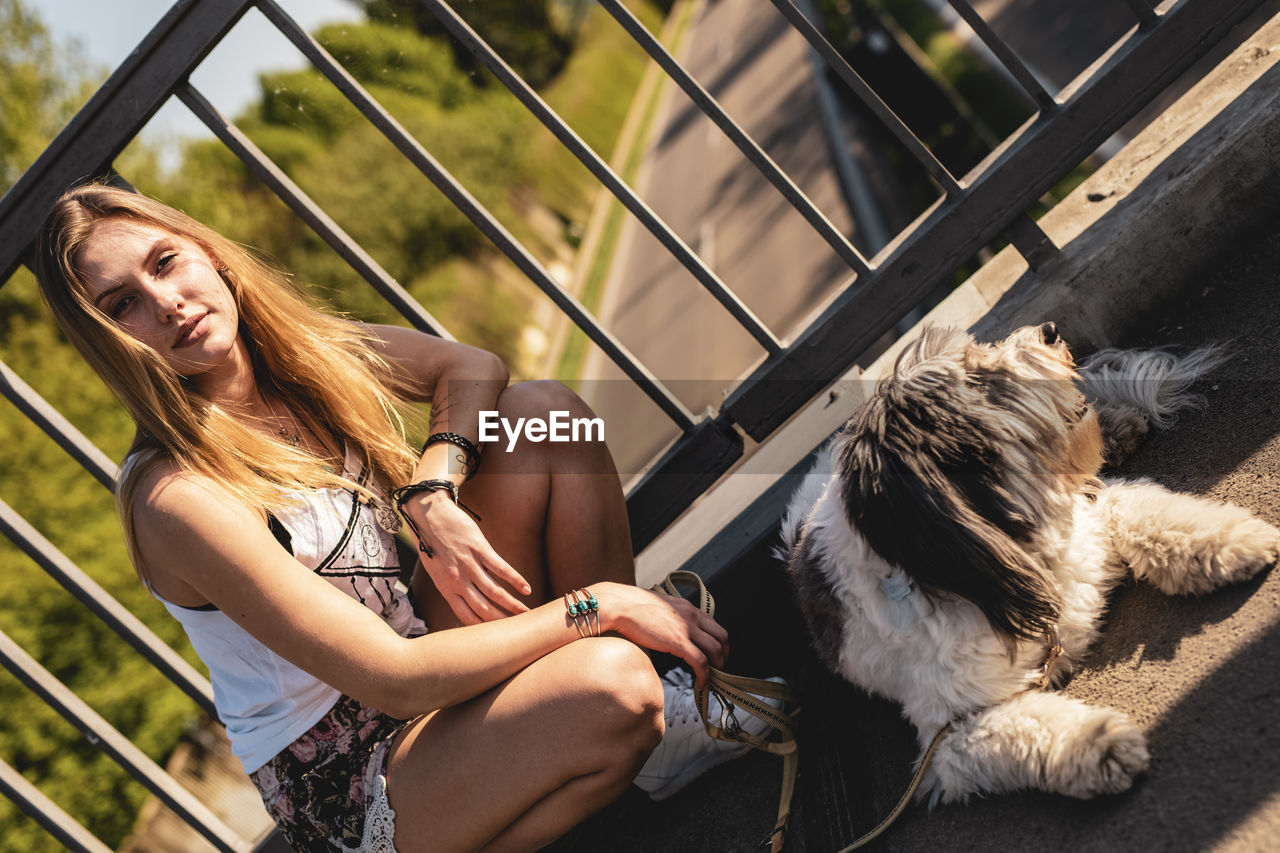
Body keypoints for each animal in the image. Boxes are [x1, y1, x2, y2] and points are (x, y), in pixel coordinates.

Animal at [778, 322, 1280, 799]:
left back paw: (1119, 425)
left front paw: (1228, 541)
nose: (1049, 331)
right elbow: (1023, 729)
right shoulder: (948, 735)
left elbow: (1146, 513)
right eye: (979, 378)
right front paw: (1097, 744)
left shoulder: (1090, 522)